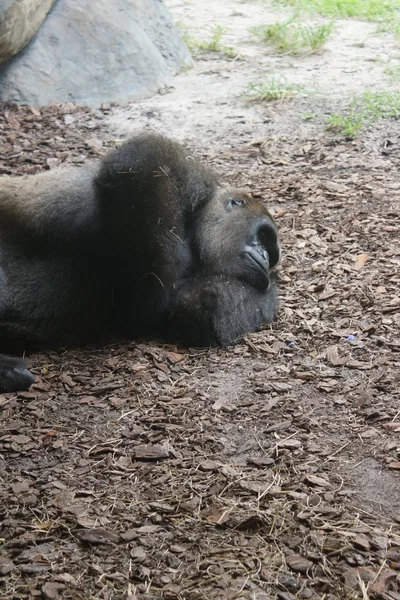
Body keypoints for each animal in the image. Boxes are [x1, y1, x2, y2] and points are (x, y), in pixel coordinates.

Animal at [0, 133, 282, 392]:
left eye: (270, 251)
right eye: (262, 236)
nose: (266, 258)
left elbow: (199, 310)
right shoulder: (188, 174)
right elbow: (142, 163)